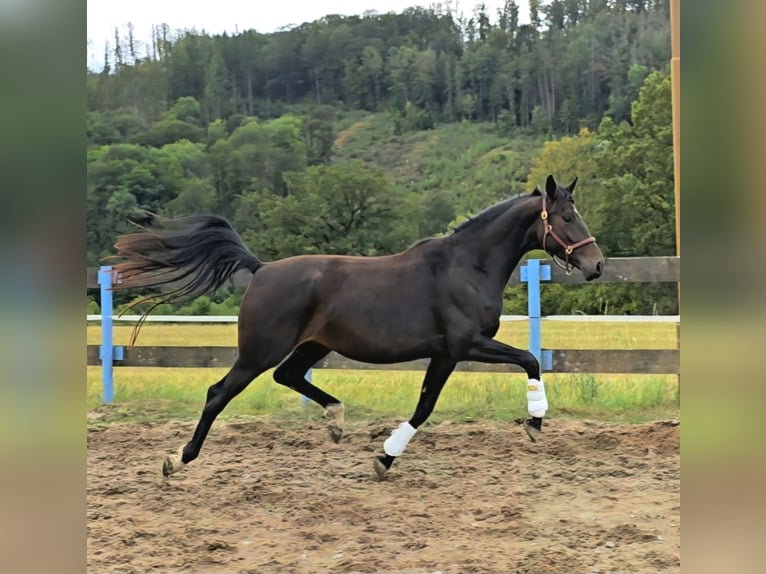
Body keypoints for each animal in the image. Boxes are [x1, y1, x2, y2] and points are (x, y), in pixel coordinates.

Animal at [112, 173, 608, 480]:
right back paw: (178, 459)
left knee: (287, 375)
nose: (597, 265)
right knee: (219, 393)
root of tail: (262, 269)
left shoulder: (446, 353)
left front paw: (384, 458)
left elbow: (429, 403)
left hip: (311, 345)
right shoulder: (464, 345)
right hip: (260, 350)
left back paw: (335, 419)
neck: (467, 266)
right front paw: (535, 422)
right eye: (567, 217)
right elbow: (524, 362)